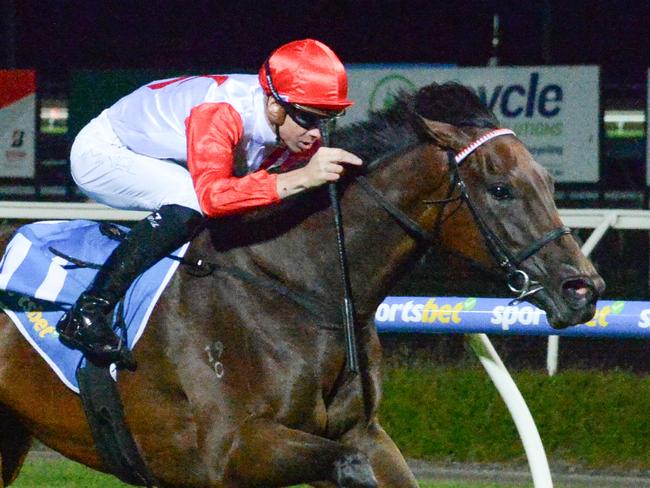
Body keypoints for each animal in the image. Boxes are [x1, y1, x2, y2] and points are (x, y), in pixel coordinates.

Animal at [0, 82, 604, 486]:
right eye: (501, 189)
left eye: (549, 182)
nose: (584, 290)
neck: (298, 287)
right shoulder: (230, 450)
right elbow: (345, 466)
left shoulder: (362, 431)